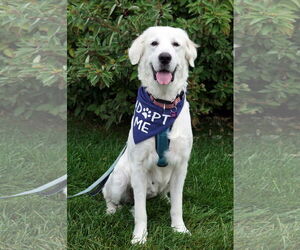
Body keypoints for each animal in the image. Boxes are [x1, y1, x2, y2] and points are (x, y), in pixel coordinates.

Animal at [102, 25, 198, 244]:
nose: (165, 57)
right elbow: (141, 212)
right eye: (154, 43)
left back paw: (165, 199)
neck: (162, 107)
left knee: (167, 194)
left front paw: (179, 229)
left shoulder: (181, 165)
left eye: (176, 44)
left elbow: (178, 206)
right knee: (108, 196)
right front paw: (140, 237)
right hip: (119, 179)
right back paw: (111, 211)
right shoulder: (138, 167)